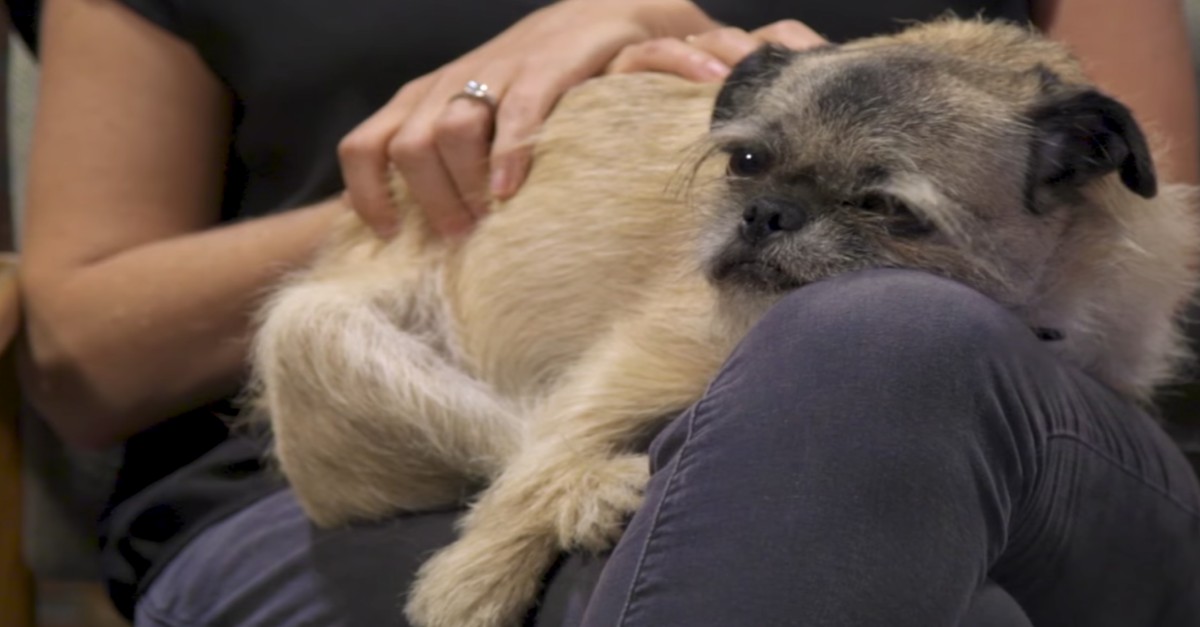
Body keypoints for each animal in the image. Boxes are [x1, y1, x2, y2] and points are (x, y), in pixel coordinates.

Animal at [250, 18, 1200, 624]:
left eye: (884, 208)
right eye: (746, 161)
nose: (767, 213)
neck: (1041, 302)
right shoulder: (643, 354)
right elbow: (538, 461)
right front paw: (473, 584)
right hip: (314, 333)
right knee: (511, 439)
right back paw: (593, 493)